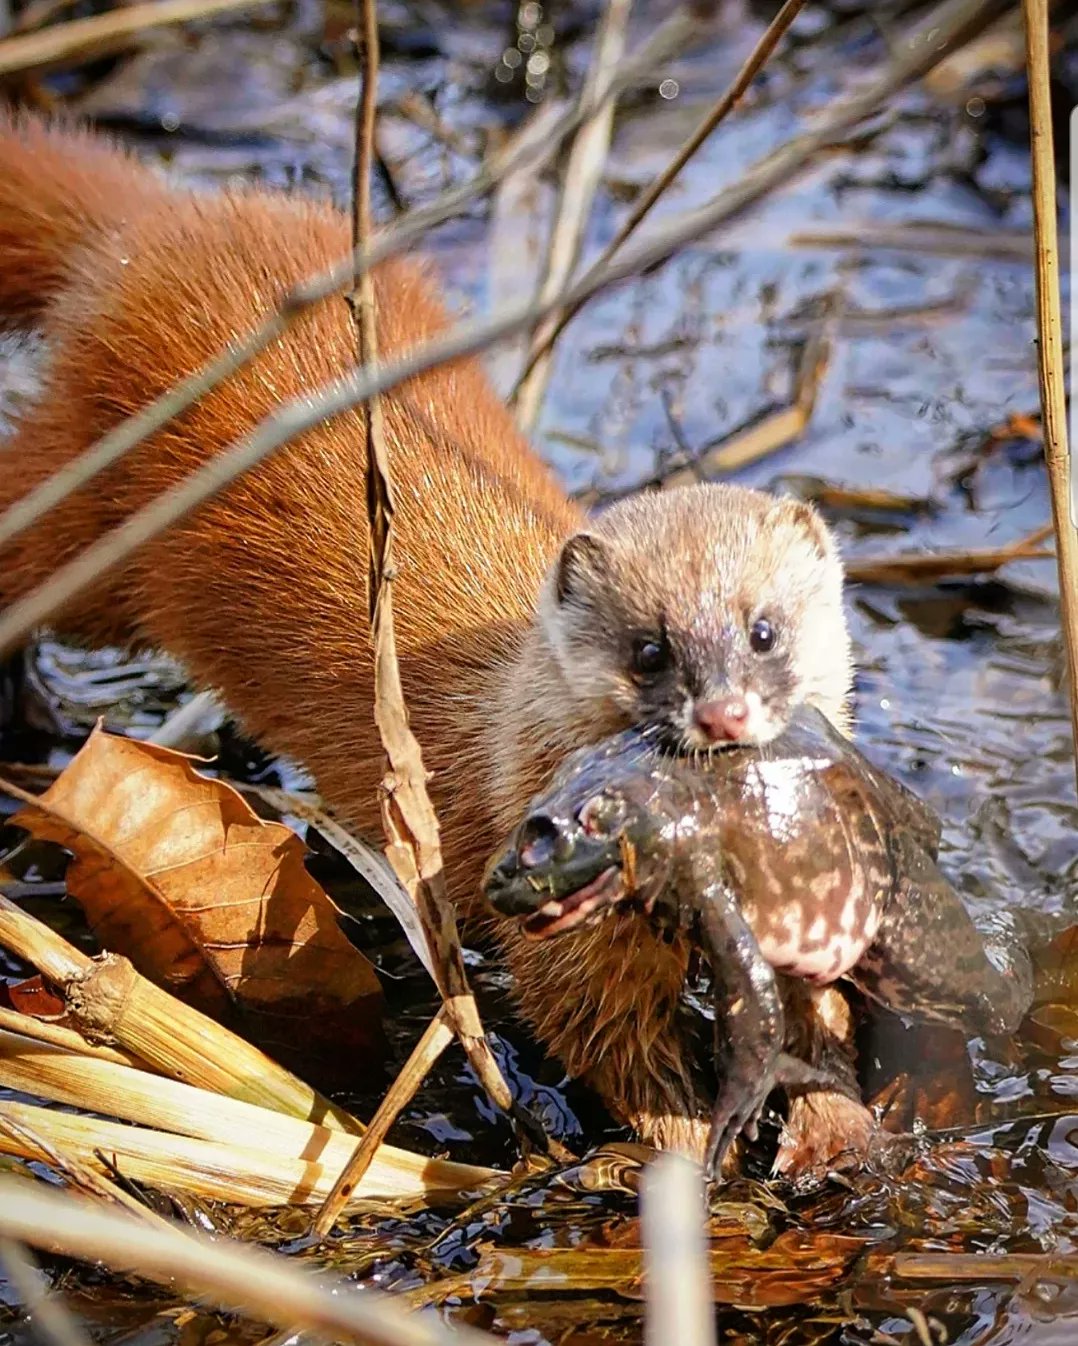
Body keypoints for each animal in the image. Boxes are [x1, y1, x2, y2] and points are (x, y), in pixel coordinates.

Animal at [0, 118, 855, 1157]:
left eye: (764, 629)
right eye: (647, 651)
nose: (725, 714)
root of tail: (162, 224)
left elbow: (827, 1015)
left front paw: (836, 1133)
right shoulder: (559, 931)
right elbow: (606, 1039)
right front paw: (683, 1153)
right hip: (85, 514)